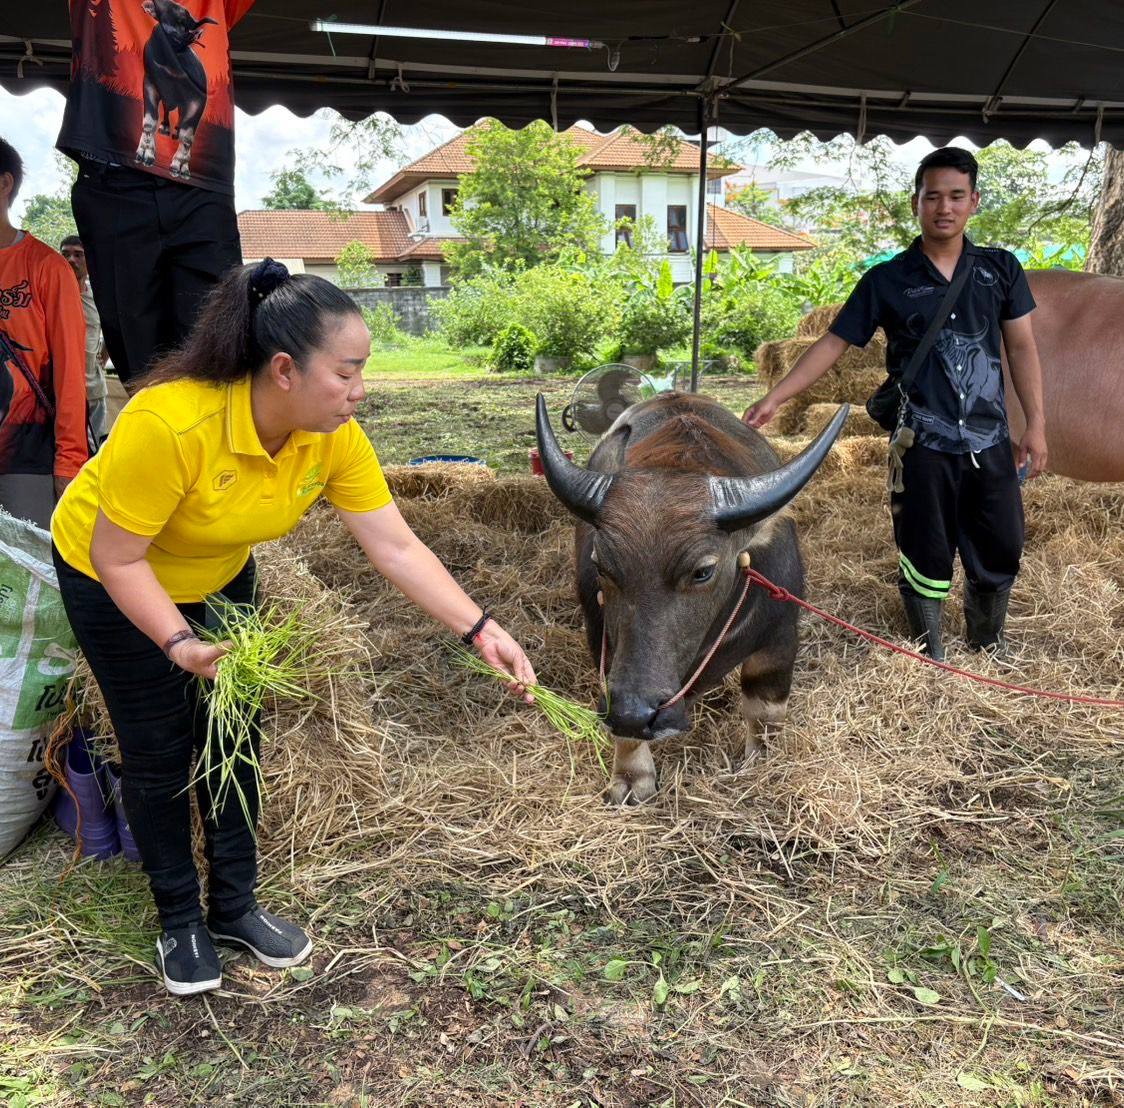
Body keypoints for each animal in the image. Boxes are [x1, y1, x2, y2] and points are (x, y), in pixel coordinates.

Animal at [134, 0, 216, 180]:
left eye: (182, 24)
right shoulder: (150, 85)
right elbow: (149, 122)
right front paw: (145, 153)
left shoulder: (197, 101)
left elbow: (187, 137)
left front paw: (180, 166)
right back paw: (165, 128)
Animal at [535, 393, 847, 804]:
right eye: (601, 564)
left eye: (703, 571)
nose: (634, 713)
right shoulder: (602, 644)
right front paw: (632, 776)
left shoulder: (779, 638)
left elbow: (765, 712)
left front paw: (763, 763)